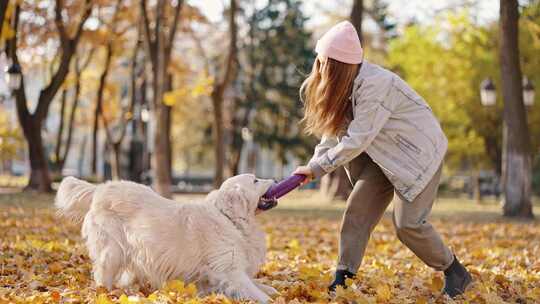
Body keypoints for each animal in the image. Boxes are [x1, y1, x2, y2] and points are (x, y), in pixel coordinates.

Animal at [56, 173, 278, 302]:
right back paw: (105, 294)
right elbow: (258, 294)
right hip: (111, 252)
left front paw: (274, 290)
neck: (229, 218)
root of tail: (100, 188)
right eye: (255, 180)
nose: (276, 180)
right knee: (102, 277)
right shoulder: (230, 272)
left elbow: (263, 287)